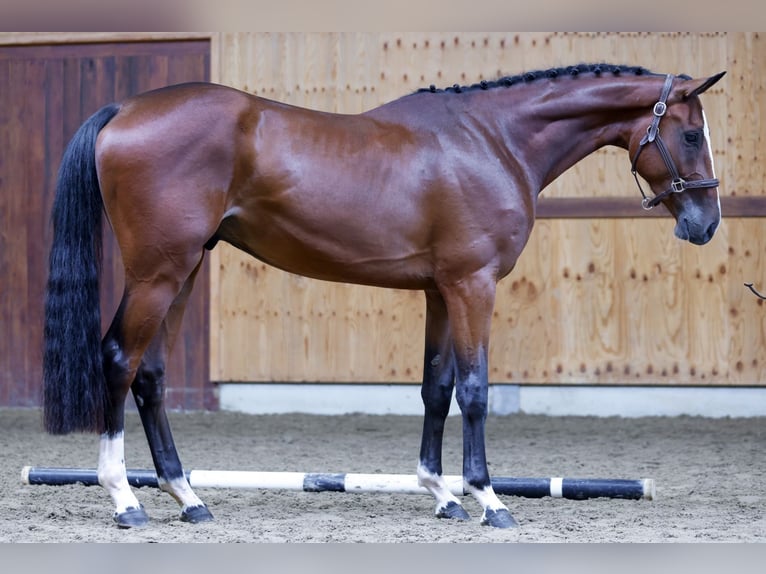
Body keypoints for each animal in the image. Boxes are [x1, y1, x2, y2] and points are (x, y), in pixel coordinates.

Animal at [42, 64, 728, 532]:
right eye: (692, 135)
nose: (706, 223)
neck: (492, 140)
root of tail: (124, 109)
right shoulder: (473, 285)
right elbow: (475, 390)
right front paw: (487, 498)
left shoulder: (440, 291)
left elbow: (436, 387)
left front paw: (442, 494)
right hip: (159, 273)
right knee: (118, 360)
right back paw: (125, 498)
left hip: (182, 273)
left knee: (150, 375)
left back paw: (188, 497)